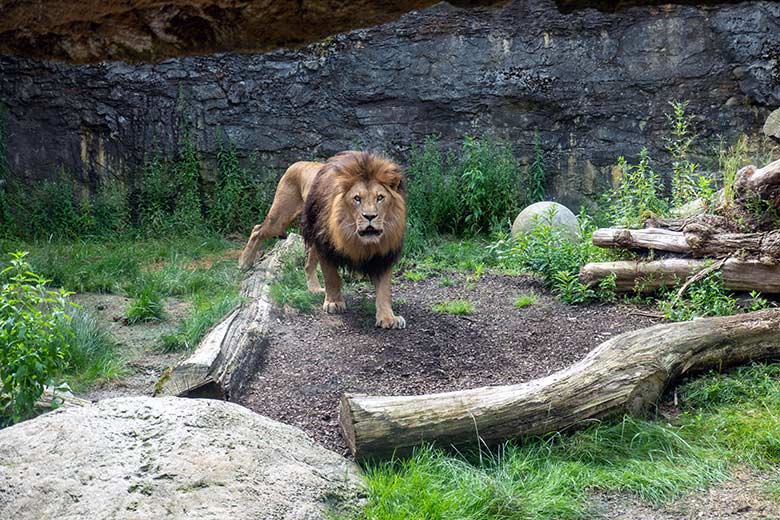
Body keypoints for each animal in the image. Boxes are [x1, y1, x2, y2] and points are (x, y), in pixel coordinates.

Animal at [239, 150, 408, 330]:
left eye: (380, 198)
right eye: (357, 198)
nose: (370, 216)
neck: (354, 237)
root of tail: (298, 163)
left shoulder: (384, 254)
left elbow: (384, 289)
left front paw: (388, 318)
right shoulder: (325, 246)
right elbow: (331, 277)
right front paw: (334, 303)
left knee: (307, 264)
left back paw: (314, 288)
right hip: (280, 219)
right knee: (257, 230)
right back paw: (245, 262)